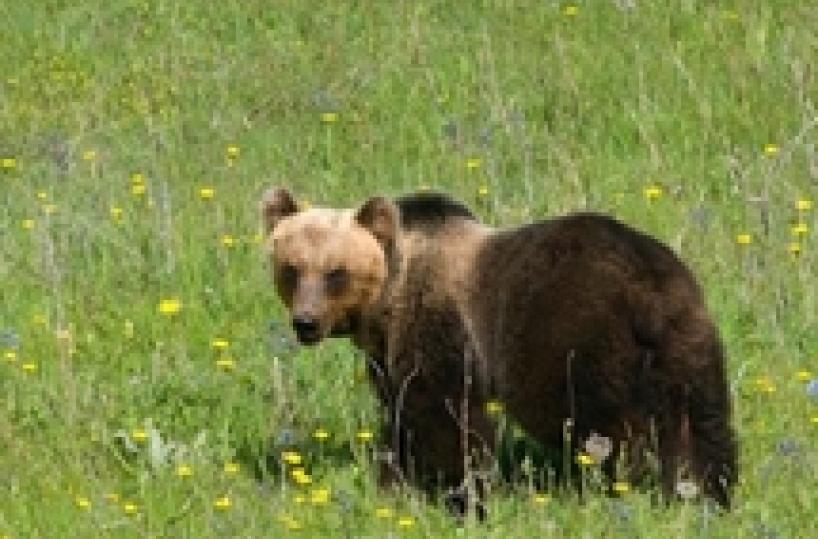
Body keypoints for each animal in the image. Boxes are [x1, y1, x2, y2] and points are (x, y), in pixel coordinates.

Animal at [261, 187, 737, 514]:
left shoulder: (439, 326)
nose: (305, 322)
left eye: (335, 272)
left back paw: (621, 484)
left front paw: (461, 495)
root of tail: (648, 288)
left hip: (569, 337)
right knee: (701, 422)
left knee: (603, 424)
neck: (388, 301)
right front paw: (395, 483)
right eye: (292, 268)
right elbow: (399, 417)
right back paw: (706, 491)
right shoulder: (388, 357)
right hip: (686, 337)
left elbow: (446, 418)